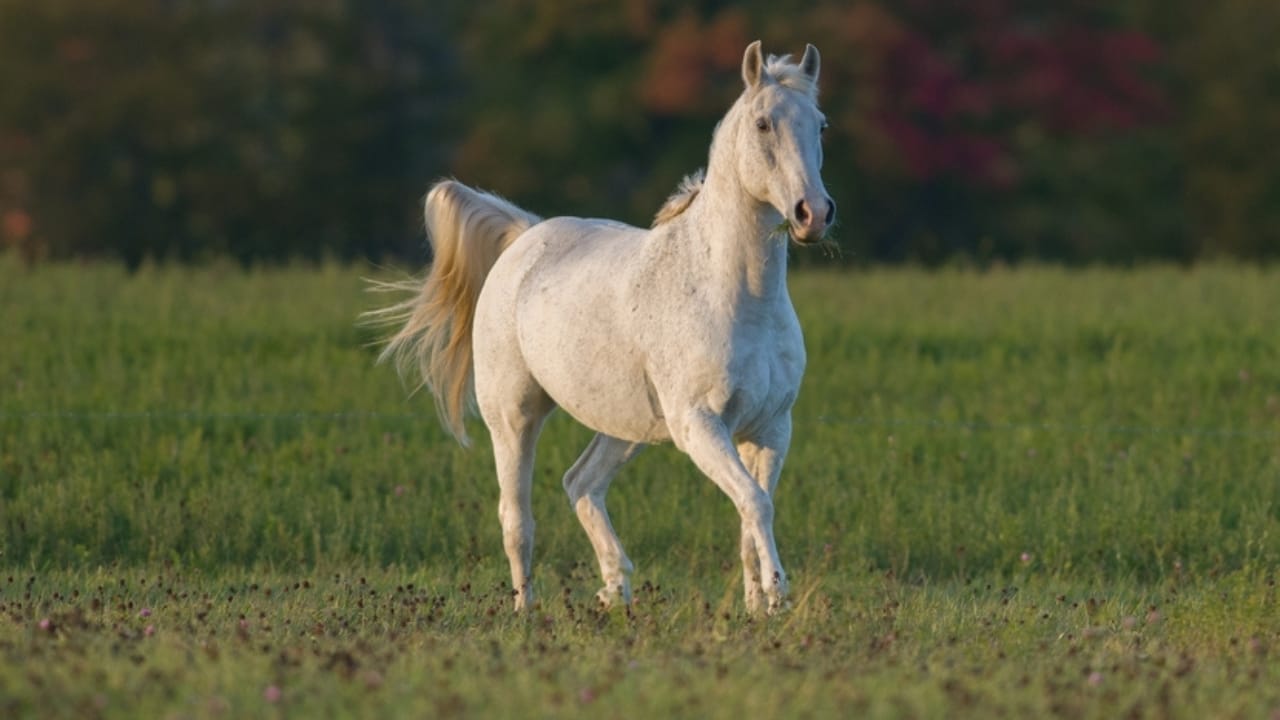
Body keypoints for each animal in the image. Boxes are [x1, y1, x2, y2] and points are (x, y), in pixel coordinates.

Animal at [368, 41, 834, 615]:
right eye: (764, 123)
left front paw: (759, 608)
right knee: (516, 519)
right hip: (514, 416)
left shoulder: (770, 429)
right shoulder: (700, 425)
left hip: (626, 426)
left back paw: (616, 592)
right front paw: (776, 594)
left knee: (581, 484)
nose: (813, 214)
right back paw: (527, 611)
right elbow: (755, 502)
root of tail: (526, 235)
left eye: (821, 125)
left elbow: (754, 512)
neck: (738, 296)